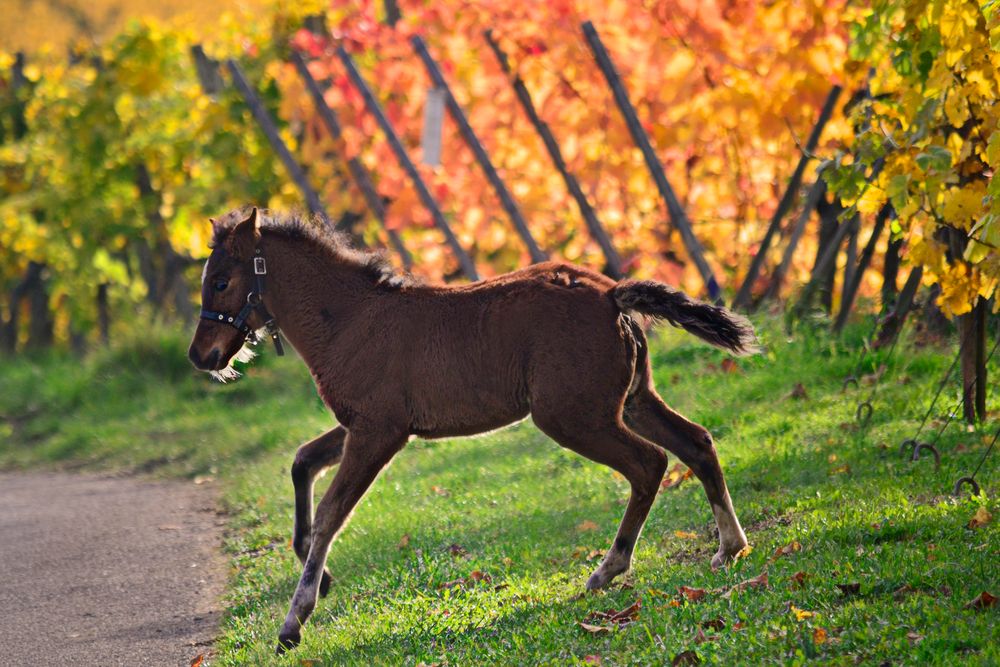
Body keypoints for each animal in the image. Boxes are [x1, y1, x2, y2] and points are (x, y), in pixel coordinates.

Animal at [188, 209, 756, 652]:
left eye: (220, 281)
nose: (200, 356)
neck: (349, 319)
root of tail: (613, 293)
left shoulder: (379, 432)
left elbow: (331, 514)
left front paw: (293, 622)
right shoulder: (364, 426)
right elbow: (302, 460)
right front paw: (321, 578)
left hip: (573, 416)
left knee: (649, 464)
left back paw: (607, 569)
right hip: (631, 402)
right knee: (697, 443)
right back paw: (729, 547)